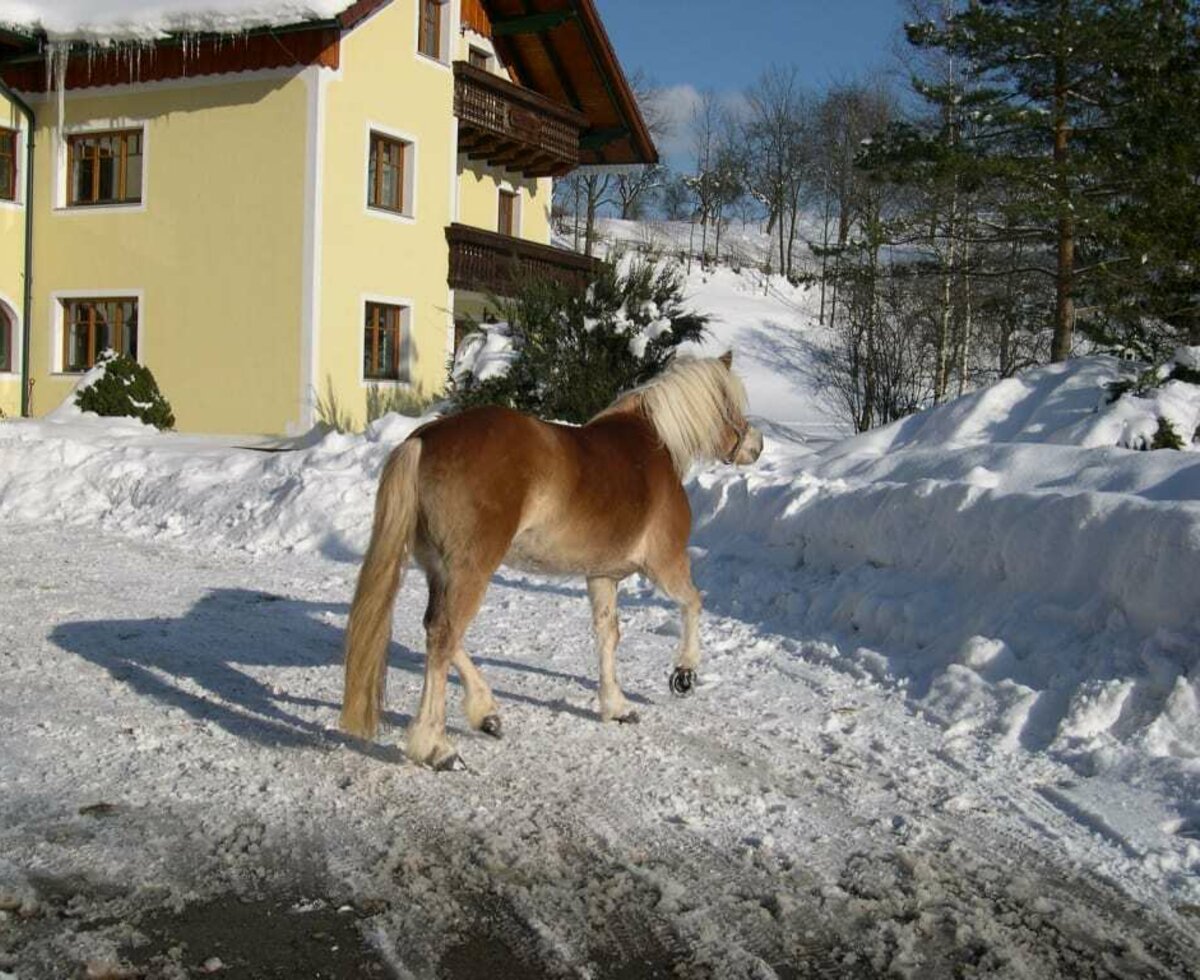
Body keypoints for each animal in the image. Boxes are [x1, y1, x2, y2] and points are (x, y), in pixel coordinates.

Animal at [343, 352, 763, 772]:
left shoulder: (602, 575)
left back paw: (485, 713)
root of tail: (425, 439)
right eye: (731, 405)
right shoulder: (665, 563)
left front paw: (616, 707)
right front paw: (685, 673)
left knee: (438, 629)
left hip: (441, 571)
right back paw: (436, 747)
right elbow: (693, 603)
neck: (655, 444)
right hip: (470, 571)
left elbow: (607, 636)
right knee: (443, 637)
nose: (756, 446)